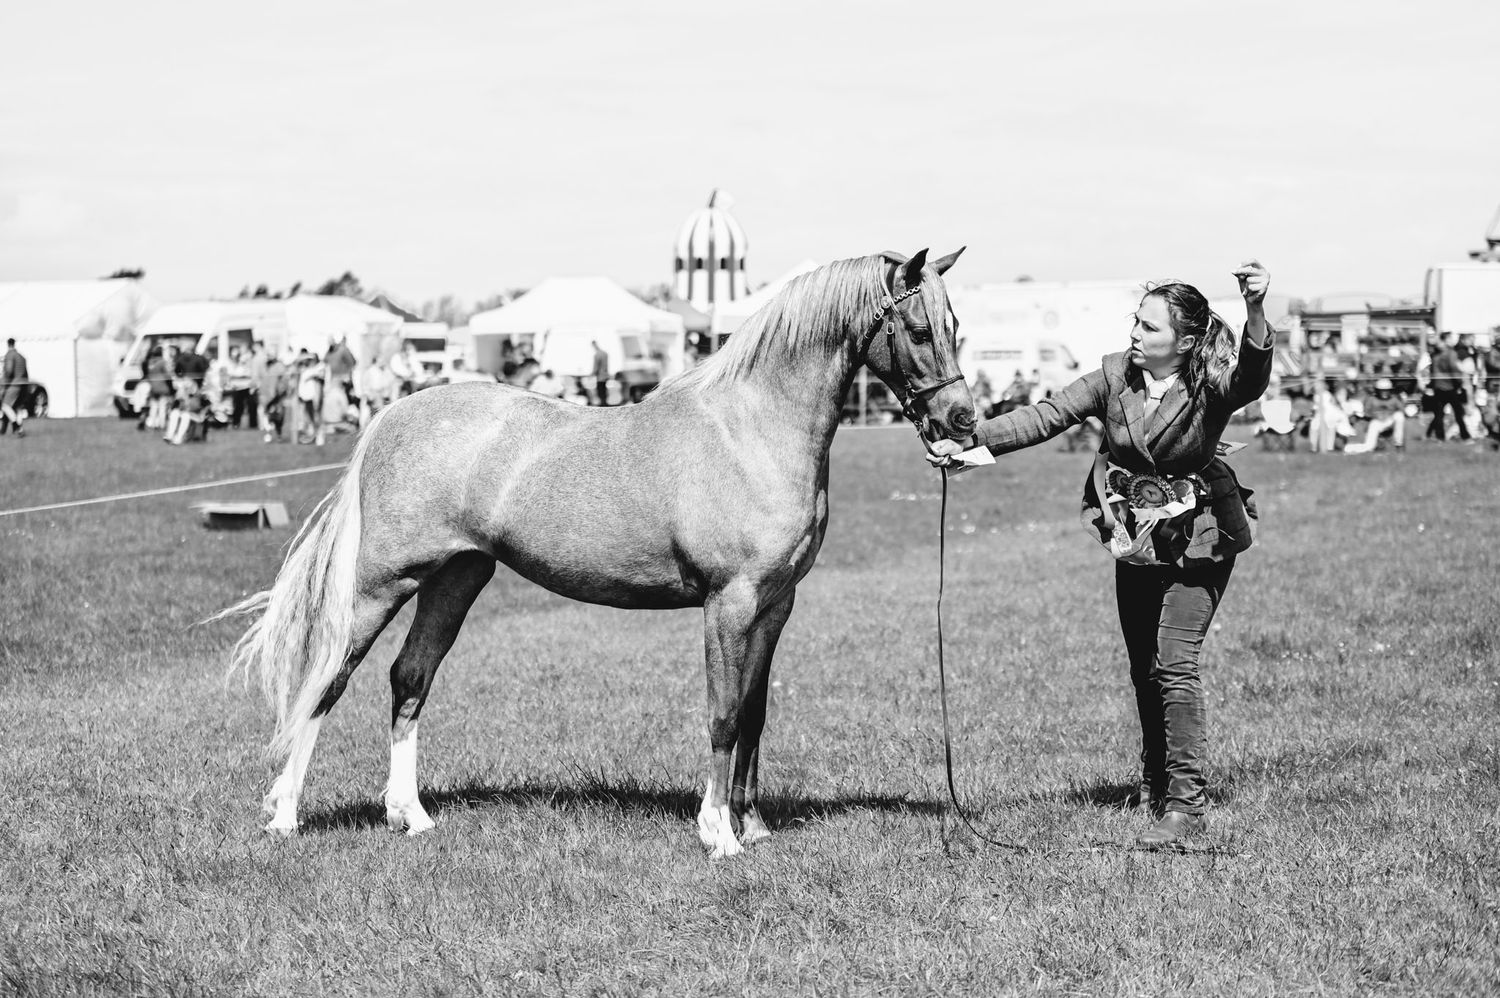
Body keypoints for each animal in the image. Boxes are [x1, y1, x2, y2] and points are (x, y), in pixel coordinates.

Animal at [223, 247, 975, 859]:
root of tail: (390, 416)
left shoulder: (775, 605)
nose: (961, 421)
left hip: (457, 578)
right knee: (327, 677)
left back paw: (411, 816)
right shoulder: (729, 604)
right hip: (382, 584)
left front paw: (754, 826)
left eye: (956, 326)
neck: (750, 430)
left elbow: (756, 714)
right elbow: (724, 713)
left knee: (409, 678)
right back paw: (285, 815)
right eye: (918, 329)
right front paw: (718, 833)